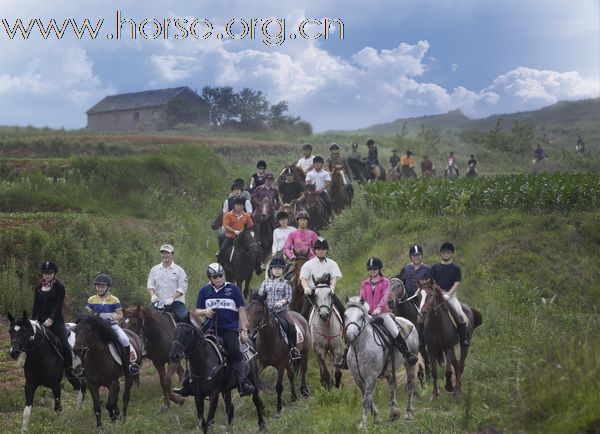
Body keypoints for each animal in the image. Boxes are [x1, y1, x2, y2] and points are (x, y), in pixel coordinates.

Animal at [342, 296, 418, 428]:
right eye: (345, 315)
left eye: (361, 316)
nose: (351, 335)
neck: (359, 347)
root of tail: (409, 322)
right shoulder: (358, 378)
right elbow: (367, 398)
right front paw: (376, 418)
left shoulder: (371, 376)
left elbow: (366, 400)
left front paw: (364, 424)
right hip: (388, 370)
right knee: (393, 384)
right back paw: (394, 412)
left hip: (410, 364)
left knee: (410, 385)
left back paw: (408, 413)